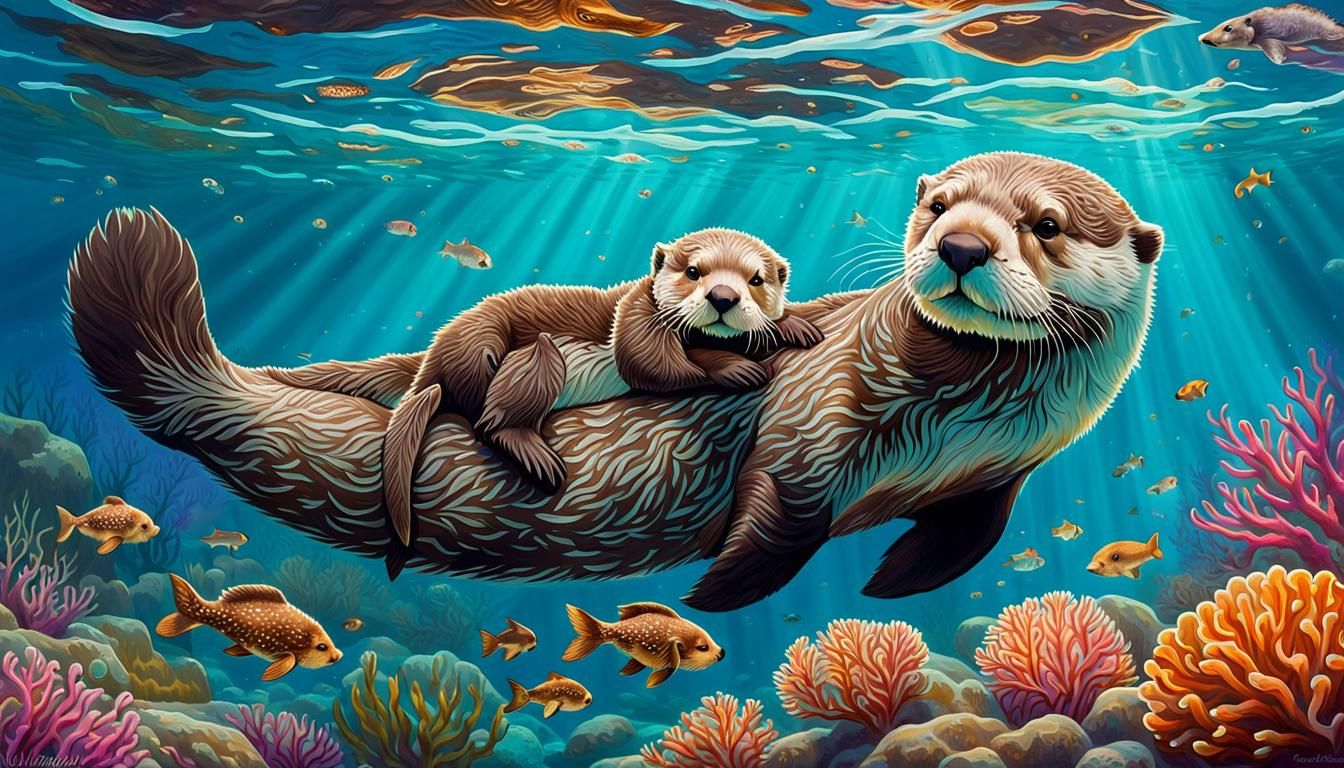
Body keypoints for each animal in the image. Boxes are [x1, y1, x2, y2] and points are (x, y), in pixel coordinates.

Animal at [381, 228, 822, 550]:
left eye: (756, 280)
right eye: (694, 272)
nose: (724, 297)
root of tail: (435, 362)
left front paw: (791, 325)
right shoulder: (636, 312)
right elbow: (653, 363)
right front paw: (737, 368)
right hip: (508, 353)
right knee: (493, 418)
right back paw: (534, 452)